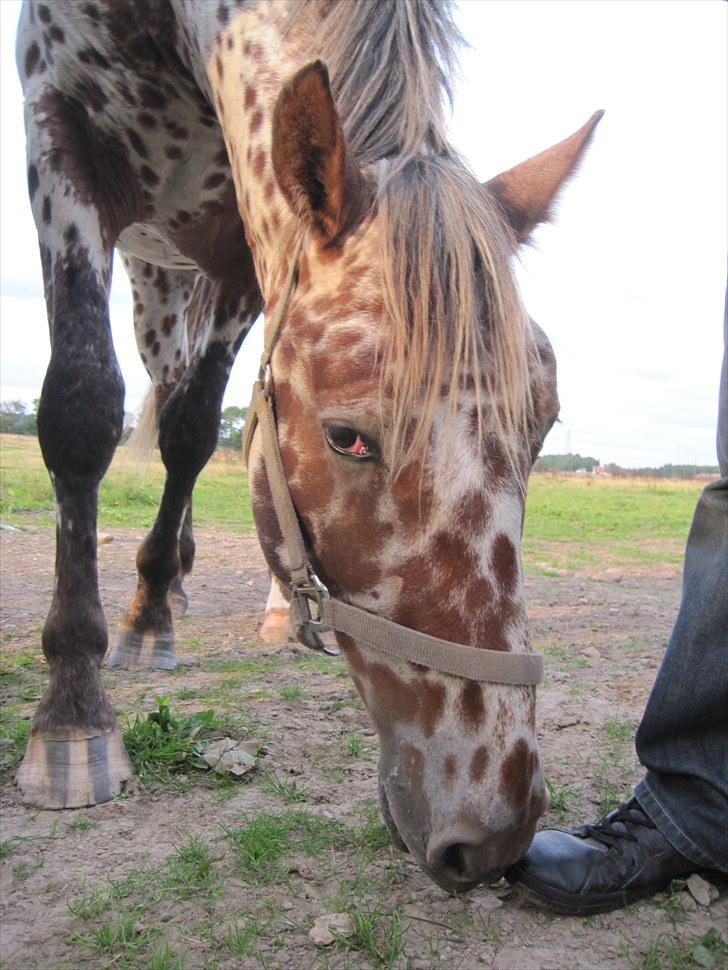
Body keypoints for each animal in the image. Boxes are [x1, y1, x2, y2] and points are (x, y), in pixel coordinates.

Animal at [14, 0, 600, 892]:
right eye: (346, 437)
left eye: (545, 423)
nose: (495, 830)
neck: (172, 36)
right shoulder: (61, 138)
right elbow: (84, 410)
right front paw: (73, 712)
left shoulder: (243, 256)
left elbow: (194, 429)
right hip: (157, 285)